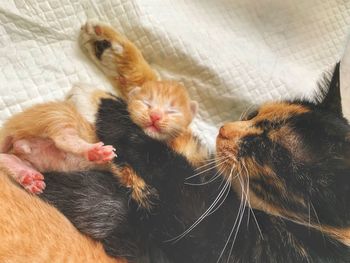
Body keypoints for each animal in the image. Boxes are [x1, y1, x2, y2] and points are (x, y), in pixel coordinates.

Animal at [41, 63, 350, 262]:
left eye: (263, 146)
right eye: (253, 113)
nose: (223, 129)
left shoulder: (207, 235)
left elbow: (167, 166)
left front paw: (93, 97)